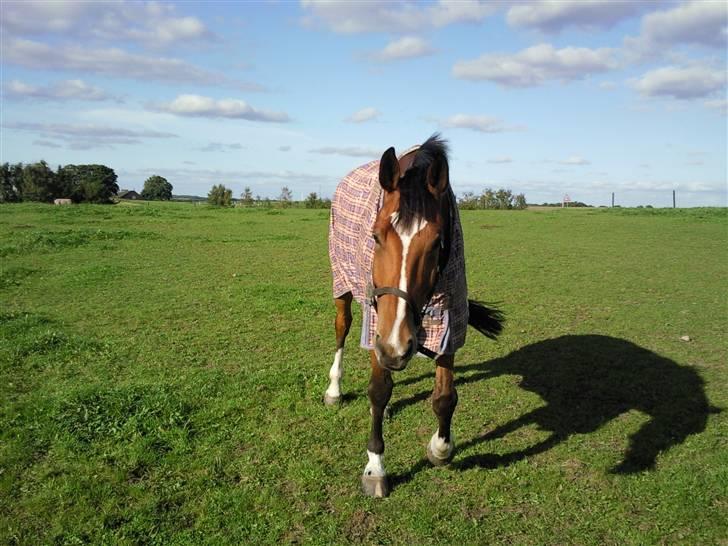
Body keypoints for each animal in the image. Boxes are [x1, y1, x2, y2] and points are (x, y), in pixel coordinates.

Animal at [328, 134, 504, 496]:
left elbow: (445, 396)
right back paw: (334, 389)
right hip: (343, 285)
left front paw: (441, 448)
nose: (396, 349)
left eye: (437, 242)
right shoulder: (379, 328)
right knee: (342, 328)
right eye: (375, 236)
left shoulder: (449, 321)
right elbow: (379, 390)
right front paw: (375, 467)